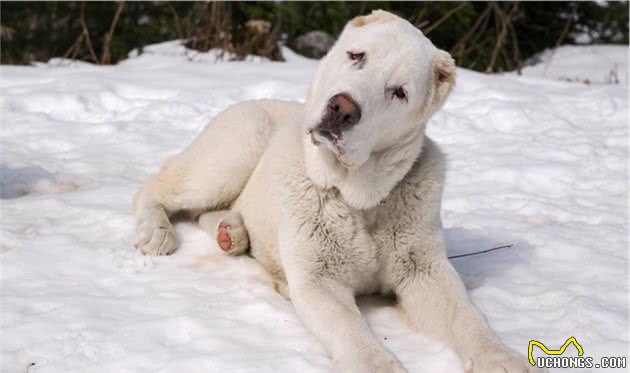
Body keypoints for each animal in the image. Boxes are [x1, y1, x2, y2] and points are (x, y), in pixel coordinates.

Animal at [133, 10, 544, 370]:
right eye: (356, 56)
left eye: (398, 92)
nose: (342, 108)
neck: (359, 201)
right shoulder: (318, 280)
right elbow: (350, 328)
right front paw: (378, 366)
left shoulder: (425, 270)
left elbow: (467, 316)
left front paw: (500, 358)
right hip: (238, 147)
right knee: (155, 189)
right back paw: (157, 233)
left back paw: (231, 233)